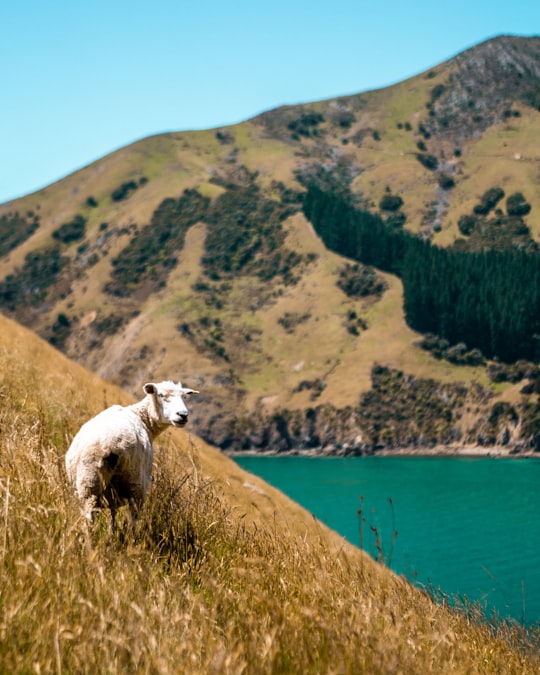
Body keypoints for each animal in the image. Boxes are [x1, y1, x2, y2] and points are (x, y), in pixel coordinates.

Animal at [63, 382, 198, 532]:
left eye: (184, 397)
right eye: (161, 395)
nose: (183, 415)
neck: (143, 418)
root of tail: (106, 445)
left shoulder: (111, 495)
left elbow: (113, 514)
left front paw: (111, 531)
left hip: (87, 481)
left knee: (88, 518)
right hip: (136, 484)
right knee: (133, 520)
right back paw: (131, 537)